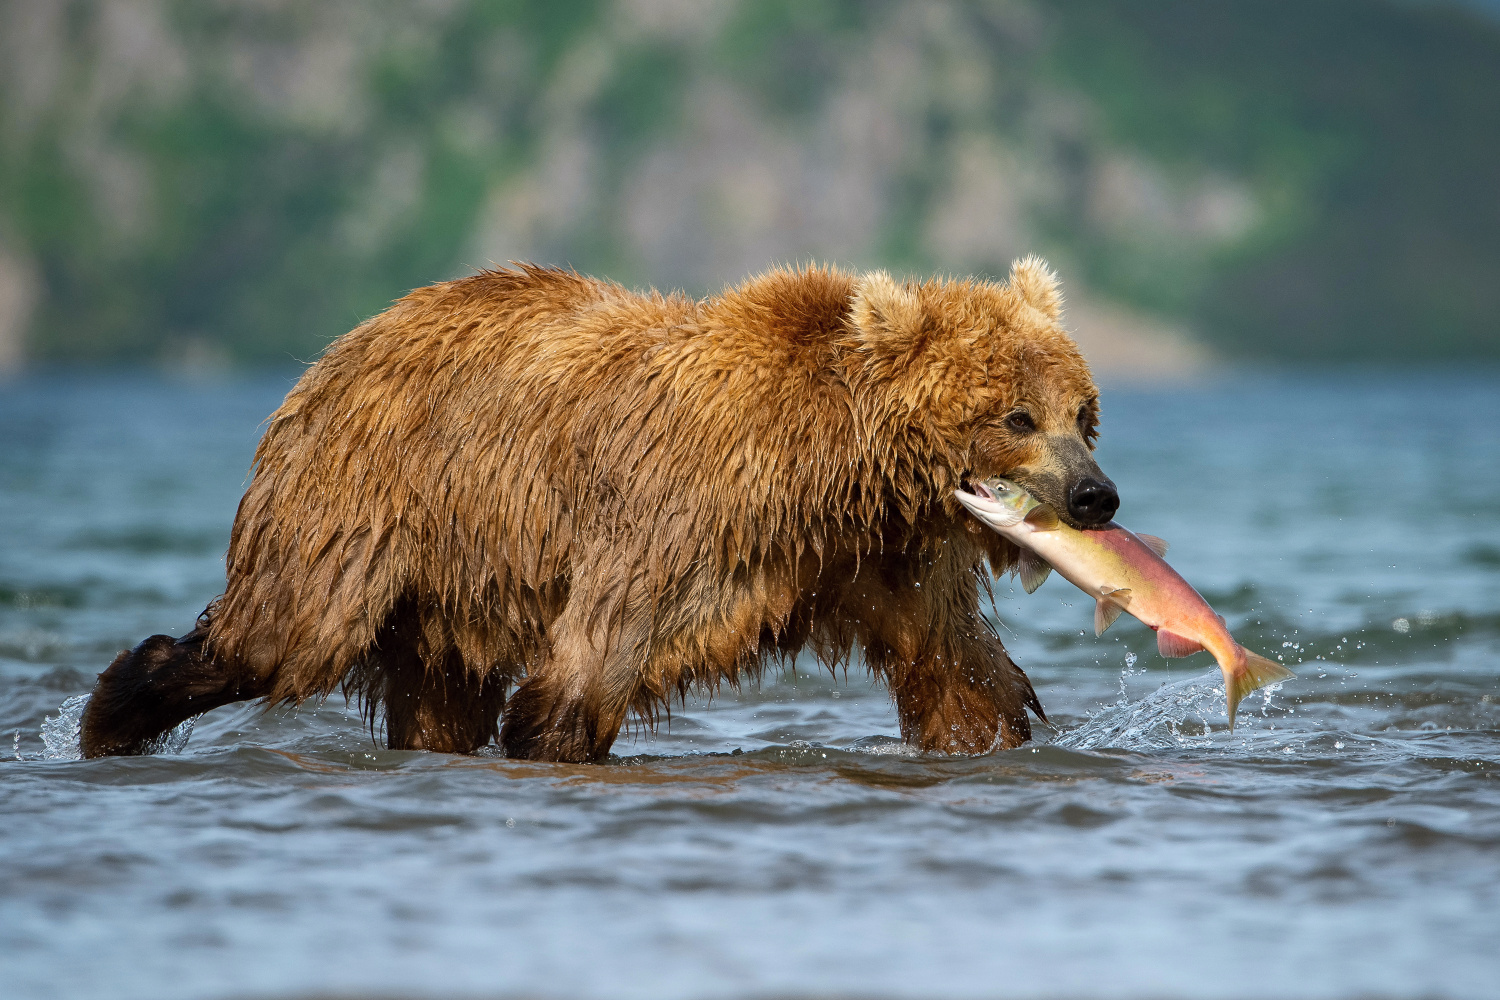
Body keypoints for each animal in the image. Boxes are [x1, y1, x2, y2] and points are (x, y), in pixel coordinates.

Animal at [79, 256, 1116, 758]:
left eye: (1083, 411)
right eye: (1017, 415)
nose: (1095, 495)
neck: (833, 476)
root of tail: (340, 346)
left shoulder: (886, 561)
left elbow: (962, 680)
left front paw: (994, 731)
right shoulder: (680, 521)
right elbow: (589, 665)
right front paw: (554, 737)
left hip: (442, 585)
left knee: (433, 696)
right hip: (360, 503)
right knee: (282, 630)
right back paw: (112, 716)